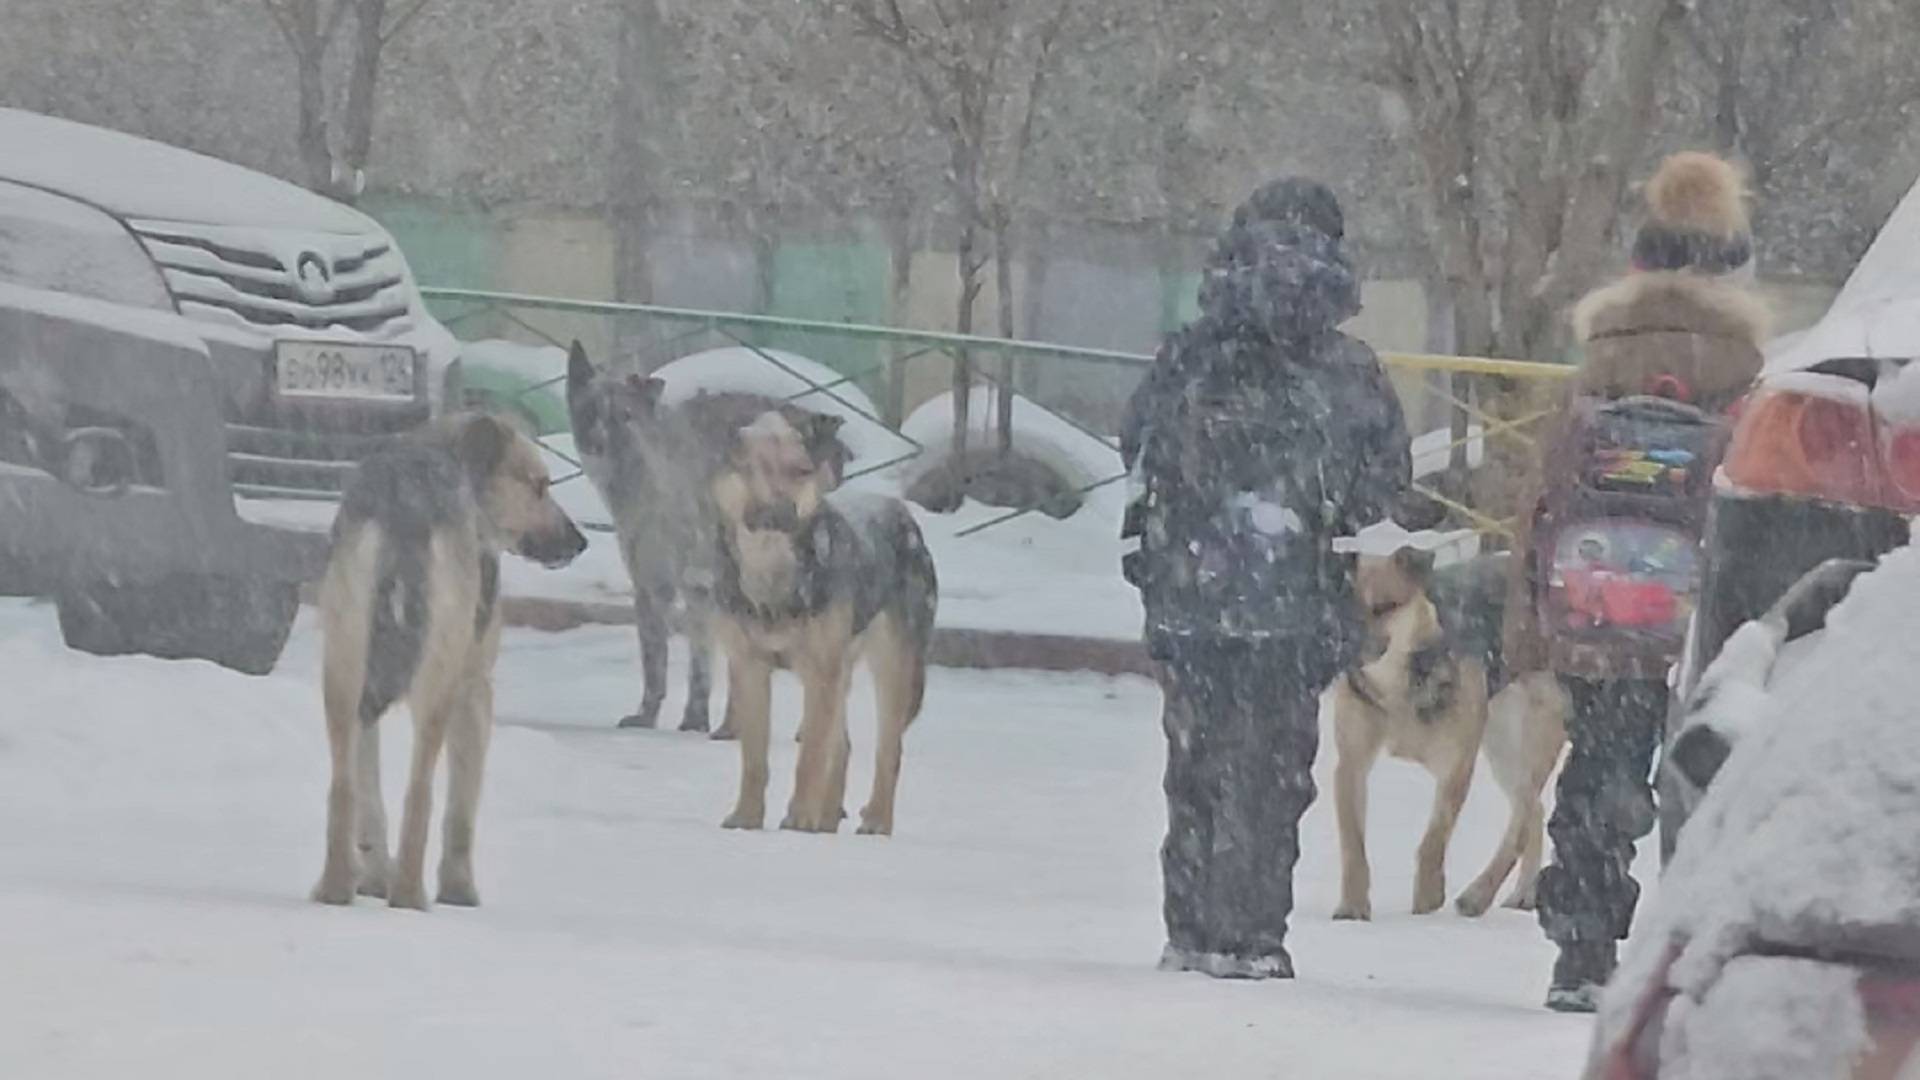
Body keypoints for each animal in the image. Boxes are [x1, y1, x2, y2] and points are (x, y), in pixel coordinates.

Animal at [309, 411, 583, 907]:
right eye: (538, 485)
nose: (580, 542)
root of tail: (406, 509)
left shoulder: (363, 696)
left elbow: (369, 796)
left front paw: (372, 877)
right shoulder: (475, 687)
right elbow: (461, 808)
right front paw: (459, 889)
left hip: (342, 666)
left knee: (344, 786)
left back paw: (337, 886)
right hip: (439, 679)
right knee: (420, 792)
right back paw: (409, 894)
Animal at [560, 342, 848, 730]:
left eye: (624, 416)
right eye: (588, 410)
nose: (596, 445)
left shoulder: (677, 589)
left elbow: (673, 664)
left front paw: (672, 718)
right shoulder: (678, 590)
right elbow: (681, 665)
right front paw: (681, 718)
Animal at [1328, 545, 1566, 914]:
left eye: (1386, 606)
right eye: (1342, 610)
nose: (1350, 647)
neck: (1399, 683)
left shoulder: (1456, 764)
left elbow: (1434, 839)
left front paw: (1427, 902)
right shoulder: (1351, 762)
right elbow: (1353, 842)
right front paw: (1352, 908)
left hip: (1539, 729)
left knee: (1522, 821)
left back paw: (1478, 895)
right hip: (1501, 741)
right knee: (1533, 812)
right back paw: (1520, 894)